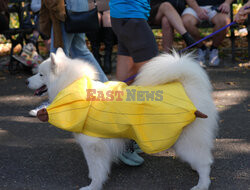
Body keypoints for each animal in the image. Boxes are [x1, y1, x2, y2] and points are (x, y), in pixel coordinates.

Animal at [27, 48, 218, 189]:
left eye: (41, 75)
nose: (27, 81)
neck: (74, 87)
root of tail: (187, 86)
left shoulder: (93, 145)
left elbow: (96, 168)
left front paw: (93, 186)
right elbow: (94, 166)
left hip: (187, 139)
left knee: (205, 161)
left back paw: (202, 184)